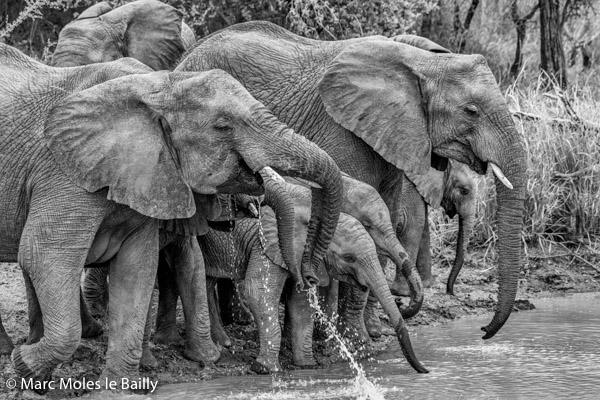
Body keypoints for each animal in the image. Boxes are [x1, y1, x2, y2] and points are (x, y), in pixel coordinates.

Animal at [0, 43, 342, 390]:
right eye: (223, 127)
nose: (309, 277)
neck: (158, 86)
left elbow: (139, 268)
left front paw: (119, 388)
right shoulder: (63, 172)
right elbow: (44, 256)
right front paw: (24, 365)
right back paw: (16, 350)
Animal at [177, 21, 524, 342]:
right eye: (471, 110)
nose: (483, 331)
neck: (421, 62)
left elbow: (387, 214)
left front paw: (369, 333)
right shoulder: (343, 131)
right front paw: (348, 337)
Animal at [202, 183, 426, 374]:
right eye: (349, 258)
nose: (424, 370)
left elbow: (302, 303)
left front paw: (308, 365)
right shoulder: (268, 244)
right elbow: (258, 292)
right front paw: (265, 369)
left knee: (208, 281)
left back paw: (222, 342)